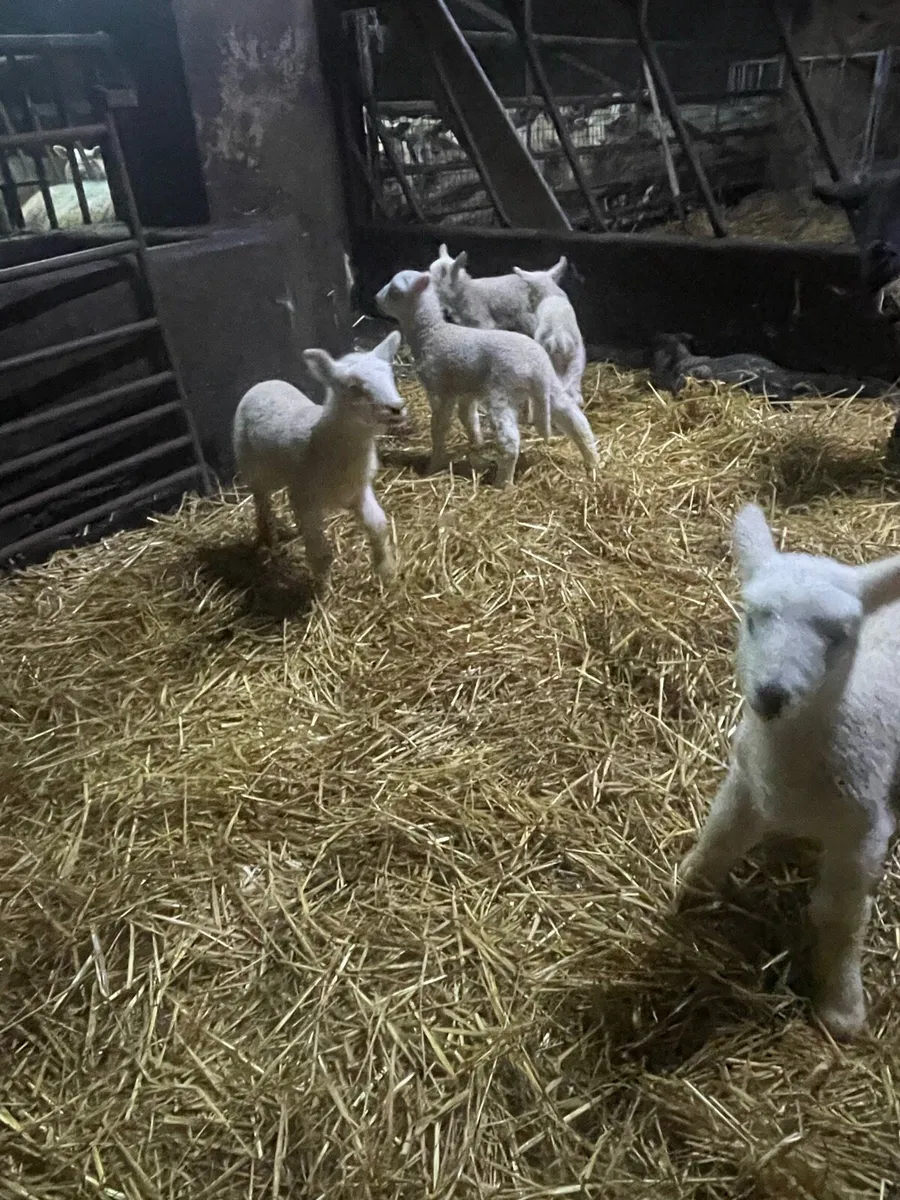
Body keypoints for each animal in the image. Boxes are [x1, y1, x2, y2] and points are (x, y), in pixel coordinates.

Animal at [231, 331, 407, 591]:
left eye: (391, 375)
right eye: (353, 387)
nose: (396, 408)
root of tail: (263, 383)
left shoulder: (359, 490)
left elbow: (378, 526)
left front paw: (387, 571)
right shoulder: (306, 499)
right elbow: (318, 549)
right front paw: (323, 588)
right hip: (251, 464)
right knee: (261, 499)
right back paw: (267, 535)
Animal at [512, 257, 586, 407]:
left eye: (530, 294)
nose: (528, 306)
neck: (549, 292)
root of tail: (560, 337)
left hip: (552, 360)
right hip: (577, 358)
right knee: (572, 386)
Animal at [675, 502, 900, 1039]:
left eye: (840, 635)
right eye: (753, 618)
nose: (772, 694)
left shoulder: (861, 834)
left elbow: (839, 917)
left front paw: (842, 1006)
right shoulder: (745, 779)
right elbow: (720, 836)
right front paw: (691, 884)